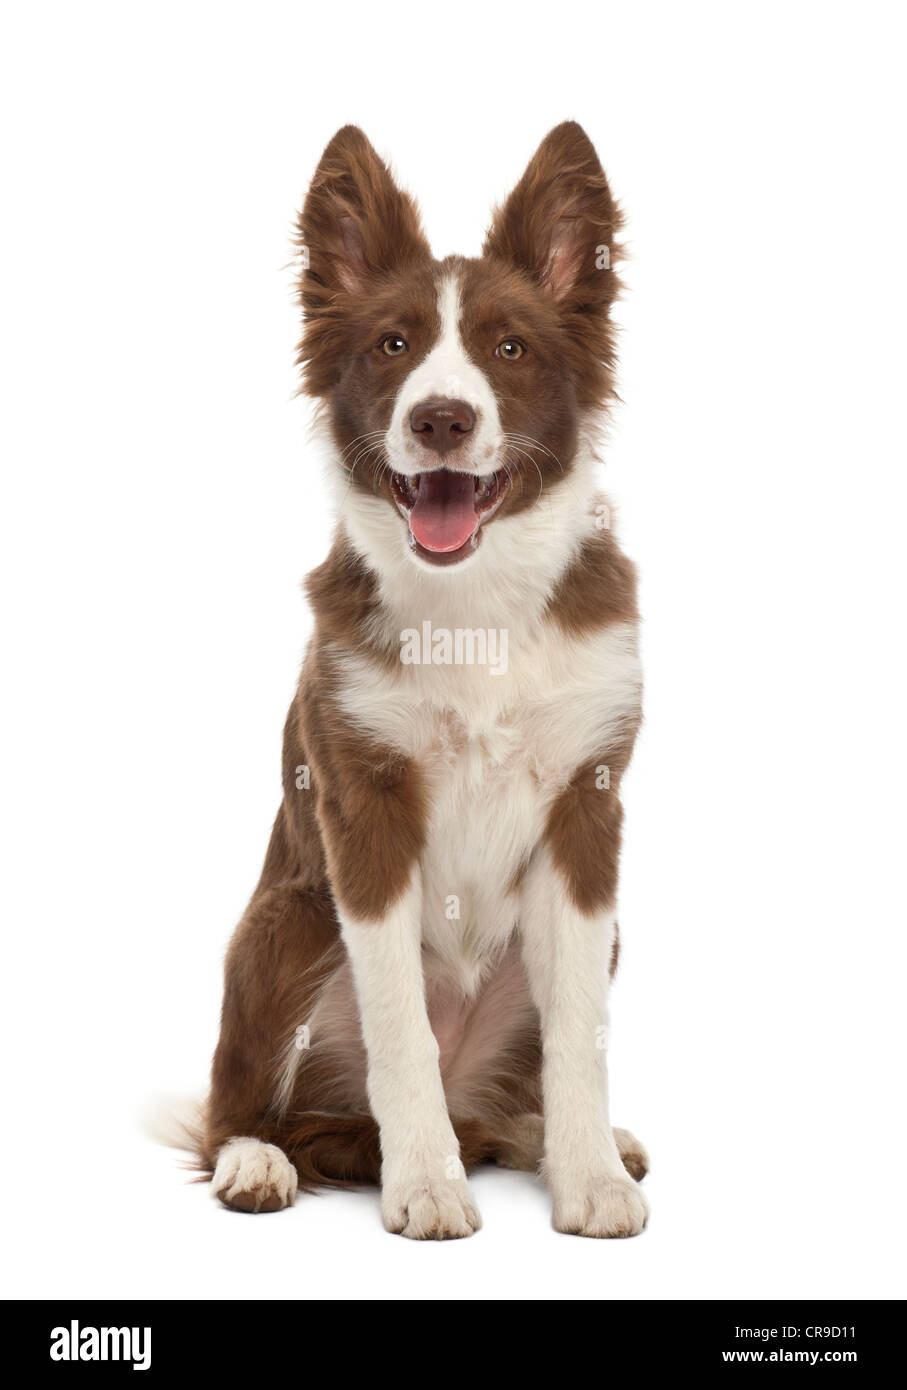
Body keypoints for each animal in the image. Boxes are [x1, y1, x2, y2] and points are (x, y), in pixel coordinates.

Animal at [198, 122, 650, 1239]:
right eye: (392, 346)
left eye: (509, 348)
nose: (442, 419)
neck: (473, 604)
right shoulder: (364, 809)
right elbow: (398, 1021)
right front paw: (426, 1185)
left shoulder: (587, 811)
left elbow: (580, 1034)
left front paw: (588, 1177)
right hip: (282, 927)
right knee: (243, 1105)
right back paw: (258, 1161)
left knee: (499, 1105)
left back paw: (548, 1139)